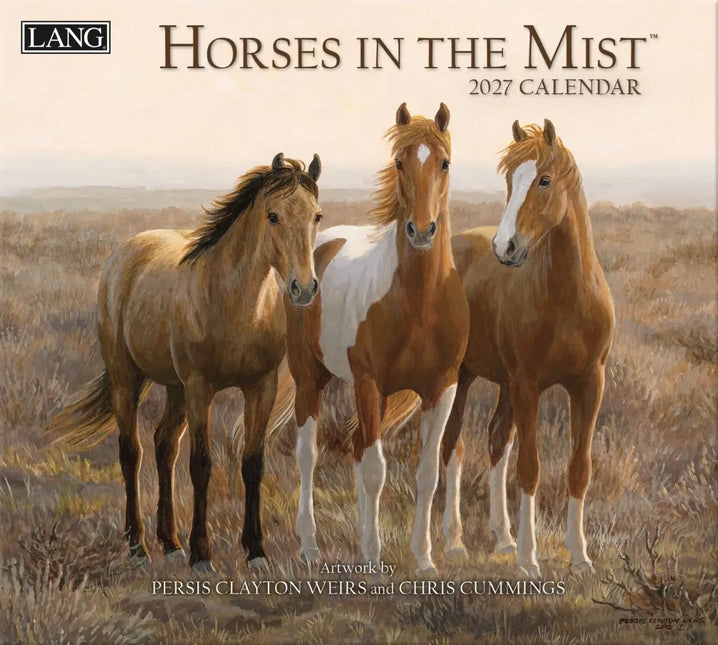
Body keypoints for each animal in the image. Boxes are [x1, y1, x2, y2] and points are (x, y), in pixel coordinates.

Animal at [48, 153, 323, 571]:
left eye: (317, 216)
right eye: (273, 216)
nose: (303, 288)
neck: (233, 304)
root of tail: (126, 252)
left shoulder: (261, 386)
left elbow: (252, 463)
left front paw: (255, 551)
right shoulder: (199, 388)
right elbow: (201, 464)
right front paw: (202, 554)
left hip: (174, 388)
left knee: (164, 446)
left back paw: (170, 542)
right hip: (127, 379)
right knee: (131, 452)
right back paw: (138, 547)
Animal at [283, 103, 469, 573]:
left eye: (445, 162)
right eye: (399, 163)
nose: (421, 231)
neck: (419, 304)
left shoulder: (441, 388)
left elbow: (426, 473)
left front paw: (423, 558)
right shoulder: (369, 384)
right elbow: (374, 470)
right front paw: (373, 556)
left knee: (354, 447)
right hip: (310, 377)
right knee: (309, 454)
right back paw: (309, 544)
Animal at [376, 119, 614, 577]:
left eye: (544, 179)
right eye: (508, 180)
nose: (506, 247)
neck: (568, 300)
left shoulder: (589, 385)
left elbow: (579, 469)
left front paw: (580, 557)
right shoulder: (528, 385)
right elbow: (530, 468)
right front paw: (529, 560)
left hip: (503, 384)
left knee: (495, 440)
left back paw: (503, 537)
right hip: (464, 378)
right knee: (453, 446)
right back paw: (454, 542)